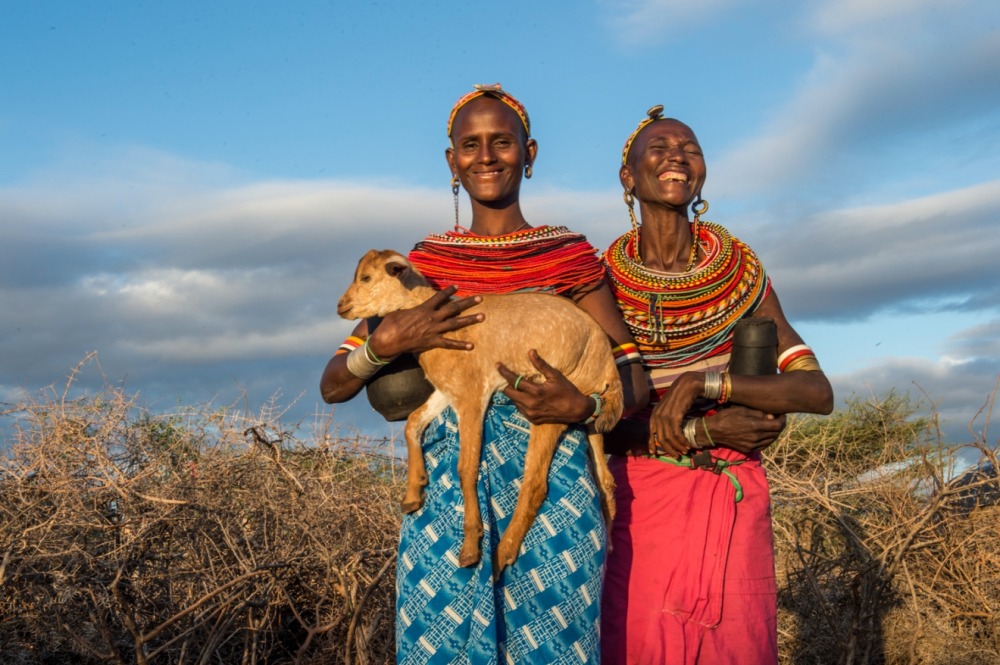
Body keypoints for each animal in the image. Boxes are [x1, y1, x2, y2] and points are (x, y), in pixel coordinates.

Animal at [340, 249, 620, 572]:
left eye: (366, 277)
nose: (341, 306)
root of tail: (607, 362)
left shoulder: (472, 395)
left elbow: (466, 467)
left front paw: (471, 548)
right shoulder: (447, 391)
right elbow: (413, 422)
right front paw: (413, 494)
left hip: (552, 404)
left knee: (536, 483)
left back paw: (500, 555)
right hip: (590, 414)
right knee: (605, 479)